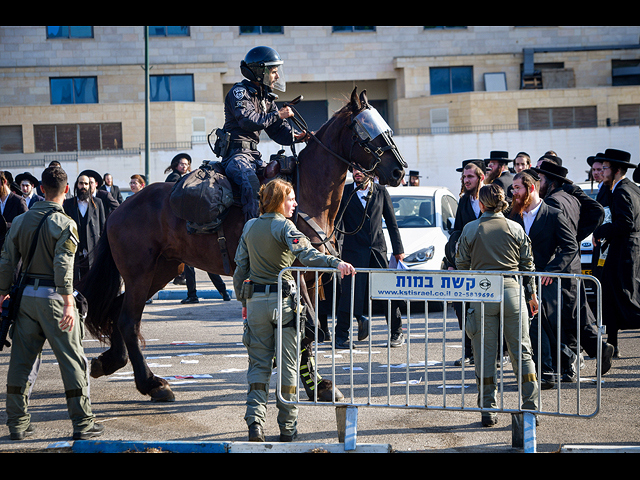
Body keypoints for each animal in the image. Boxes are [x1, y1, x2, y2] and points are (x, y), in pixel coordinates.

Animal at [79, 87, 404, 402]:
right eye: (365, 131)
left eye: (386, 128)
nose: (399, 171)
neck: (307, 194)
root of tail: (121, 207)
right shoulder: (295, 274)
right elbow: (307, 328)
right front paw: (313, 383)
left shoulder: (311, 278)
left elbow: (308, 330)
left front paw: (316, 385)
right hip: (140, 273)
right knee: (128, 321)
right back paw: (151, 383)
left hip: (163, 270)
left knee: (120, 312)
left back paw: (111, 361)